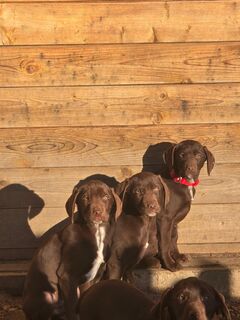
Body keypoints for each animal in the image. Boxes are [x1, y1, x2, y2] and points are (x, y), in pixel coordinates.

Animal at [22, 180, 121, 320]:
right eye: (85, 198)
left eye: (106, 197)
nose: (97, 212)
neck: (96, 232)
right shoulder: (67, 277)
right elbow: (73, 310)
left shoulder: (90, 279)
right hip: (46, 295)